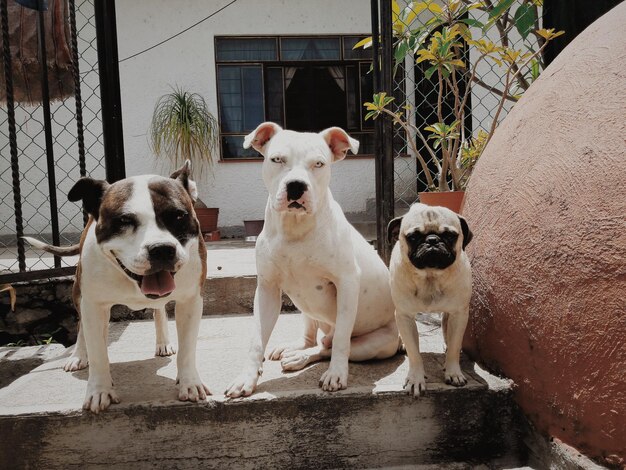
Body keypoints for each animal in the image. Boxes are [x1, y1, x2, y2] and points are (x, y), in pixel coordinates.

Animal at [24, 163, 210, 414]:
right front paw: (99, 391)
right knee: (82, 327)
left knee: (159, 309)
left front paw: (189, 383)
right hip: (78, 294)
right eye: (124, 221)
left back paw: (163, 342)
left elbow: (187, 349)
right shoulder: (93, 305)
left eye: (179, 216)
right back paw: (79, 356)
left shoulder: (190, 301)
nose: (161, 249)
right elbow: (98, 353)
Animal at [227, 122, 398, 396]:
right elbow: (256, 340)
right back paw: (295, 350)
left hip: (377, 344)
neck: (295, 228)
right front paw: (246, 378)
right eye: (277, 159)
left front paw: (337, 374)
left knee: (328, 346)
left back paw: (304, 358)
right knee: (312, 338)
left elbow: (341, 340)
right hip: (305, 306)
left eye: (318, 164)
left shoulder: (347, 283)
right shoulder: (267, 289)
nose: (296, 185)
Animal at [388, 205, 470, 396]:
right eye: (413, 237)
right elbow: (414, 353)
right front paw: (415, 378)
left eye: (450, 235)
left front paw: (453, 372)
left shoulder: (459, 314)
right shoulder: (404, 316)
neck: (430, 277)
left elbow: (455, 346)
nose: (432, 240)